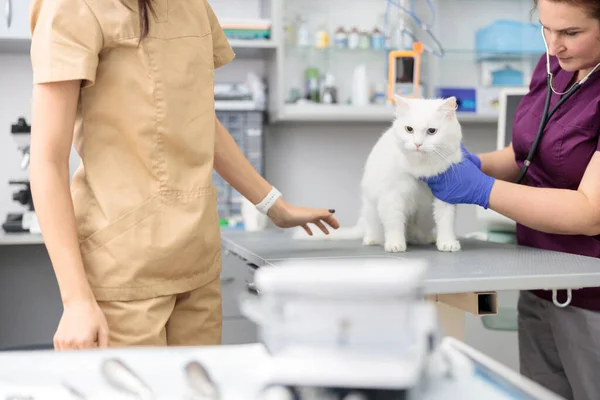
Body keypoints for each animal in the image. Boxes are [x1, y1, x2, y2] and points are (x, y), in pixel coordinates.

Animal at [296, 95, 464, 252]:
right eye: (409, 129)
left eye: (432, 131)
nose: (418, 144)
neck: (420, 169)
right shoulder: (392, 196)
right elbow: (394, 223)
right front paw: (395, 244)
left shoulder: (446, 196)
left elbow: (446, 222)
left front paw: (447, 243)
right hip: (370, 211)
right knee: (372, 229)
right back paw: (371, 239)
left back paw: (426, 238)